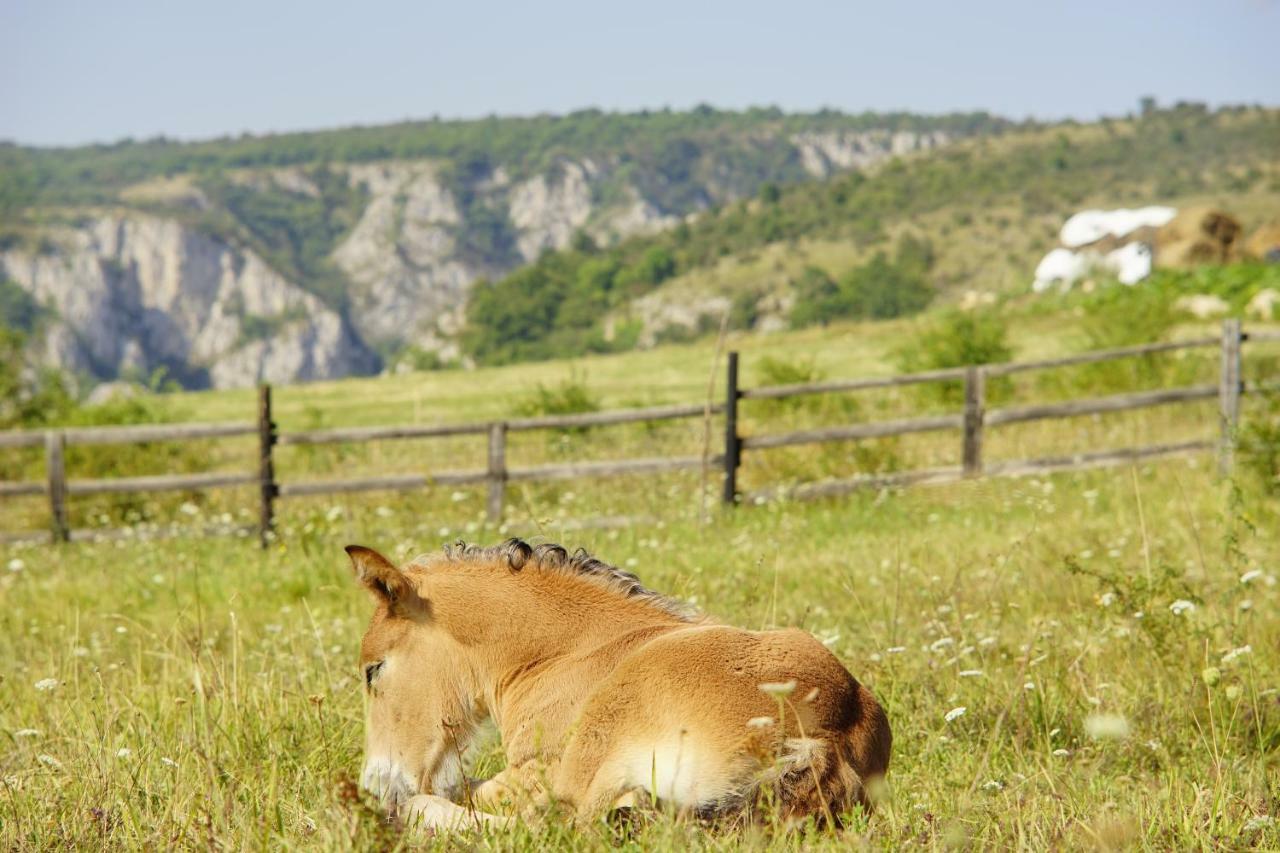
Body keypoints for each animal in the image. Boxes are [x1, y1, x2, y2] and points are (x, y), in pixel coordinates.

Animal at [348, 537, 890, 829]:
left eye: (374, 669)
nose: (376, 785)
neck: (562, 654)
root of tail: (827, 738)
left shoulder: (536, 773)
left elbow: (468, 793)